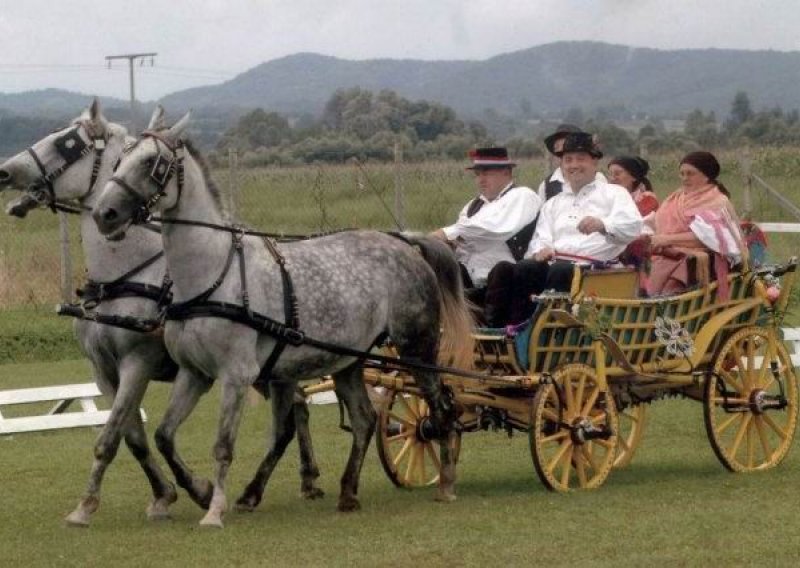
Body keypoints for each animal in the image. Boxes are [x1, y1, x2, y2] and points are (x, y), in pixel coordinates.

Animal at [92, 111, 476, 528]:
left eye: (152, 161)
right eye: (119, 158)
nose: (104, 213)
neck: (213, 275)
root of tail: (405, 242)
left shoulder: (236, 375)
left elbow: (223, 446)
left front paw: (214, 509)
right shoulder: (196, 373)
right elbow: (164, 435)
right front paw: (201, 491)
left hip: (417, 349)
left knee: (441, 408)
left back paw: (446, 482)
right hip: (348, 360)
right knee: (364, 419)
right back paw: (346, 492)